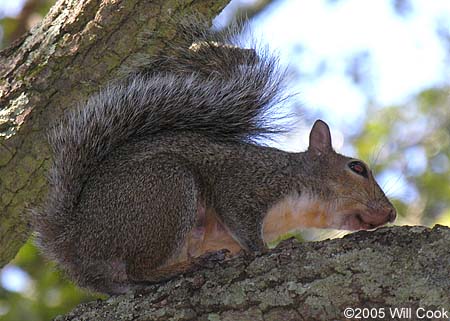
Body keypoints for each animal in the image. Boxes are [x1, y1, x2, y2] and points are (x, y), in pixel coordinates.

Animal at [31, 20, 396, 296]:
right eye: (357, 168)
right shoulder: (245, 184)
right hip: (165, 190)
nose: (391, 213)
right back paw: (191, 265)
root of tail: (75, 239)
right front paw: (270, 251)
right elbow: (243, 223)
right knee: (140, 269)